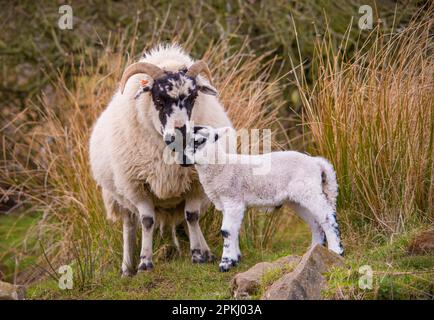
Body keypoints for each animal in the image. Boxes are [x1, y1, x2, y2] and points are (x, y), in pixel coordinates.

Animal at [89, 43, 234, 276]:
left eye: (193, 98)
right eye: (158, 99)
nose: (181, 134)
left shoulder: (195, 184)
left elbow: (192, 216)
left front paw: (197, 255)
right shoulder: (137, 186)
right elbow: (147, 221)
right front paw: (145, 263)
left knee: (181, 220)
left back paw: (203, 251)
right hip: (119, 196)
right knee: (129, 226)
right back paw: (126, 268)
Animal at [188, 126, 344, 272]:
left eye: (200, 141)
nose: (186, 159)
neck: (221, 166)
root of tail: (316, 162)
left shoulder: (233, 199)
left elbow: (226, 231)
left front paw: (225, 264)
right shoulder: (227, 204)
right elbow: (234, 230)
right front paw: (235, 259)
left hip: (309, 191)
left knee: (327, 218)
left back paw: (336, 251)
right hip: (298, 199)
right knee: (315, 223)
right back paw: (313, 251)